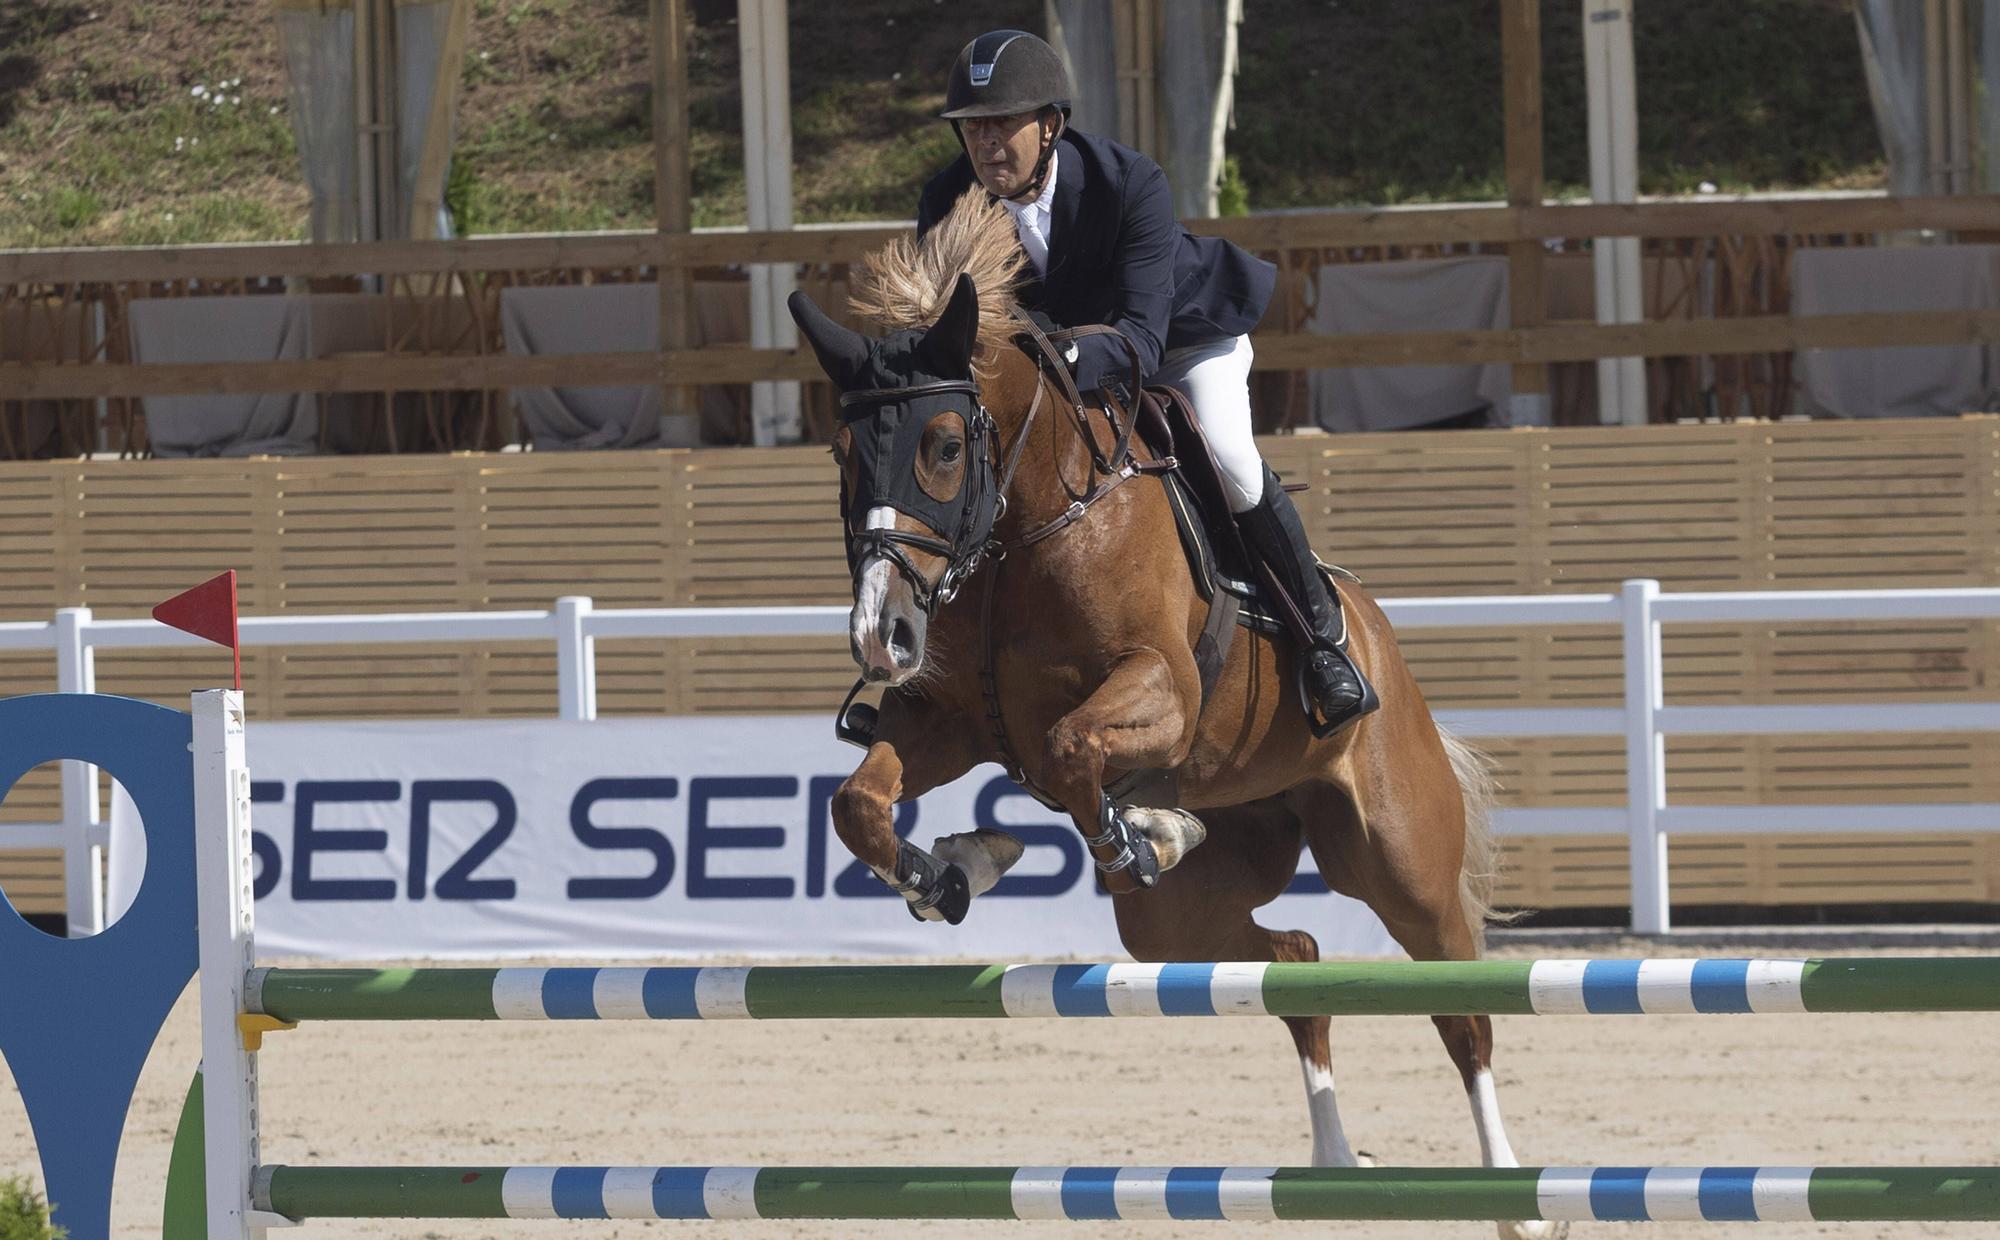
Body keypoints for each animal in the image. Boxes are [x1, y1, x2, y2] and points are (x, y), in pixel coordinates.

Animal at [792, 186, 1560, 1240]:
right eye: (841, 454)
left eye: (945, 446)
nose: (882, 634)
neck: (1026, 524)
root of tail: (1381, 644)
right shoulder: (947, 720)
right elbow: (861, 804)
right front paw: (951, 870)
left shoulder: (1161, 690)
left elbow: (1072, 750)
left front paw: (1133, 831)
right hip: (1180, 921)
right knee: (1295, 961)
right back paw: (1329, 1158)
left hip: (1400, 865)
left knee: (1464, 1013)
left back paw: (1513, 1197)